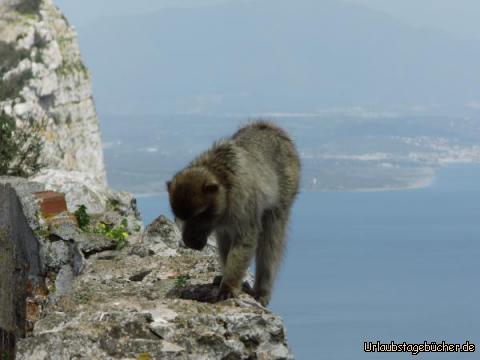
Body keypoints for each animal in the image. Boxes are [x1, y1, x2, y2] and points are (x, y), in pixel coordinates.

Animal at [167, 120, 298, 304]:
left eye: (198, 216)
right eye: (181, 218)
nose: (190, 241)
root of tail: (267, 126)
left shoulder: (243, 201)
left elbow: (245, 239)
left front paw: (228, 287)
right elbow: (225, 238)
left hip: (287, 187)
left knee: (271, 236)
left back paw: (262, 291)